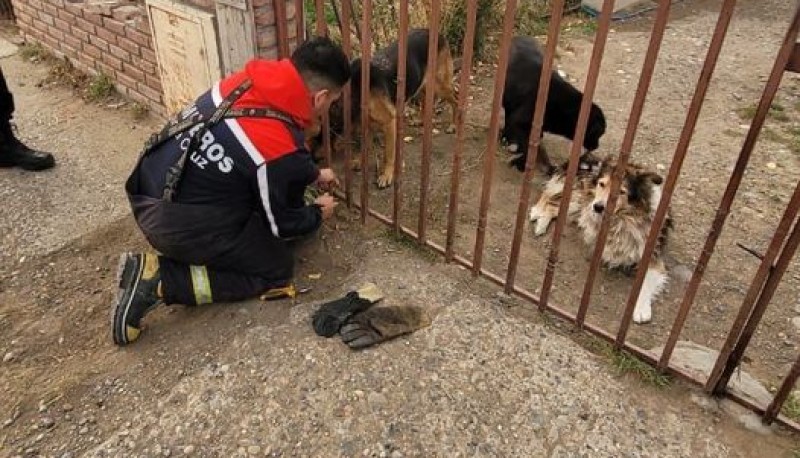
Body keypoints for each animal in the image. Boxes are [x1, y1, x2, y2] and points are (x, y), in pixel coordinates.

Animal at [500, 35, 608, 174]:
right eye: (598, 133)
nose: (596, 146)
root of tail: (520, 36)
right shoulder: (519, 122)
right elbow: (528, 146)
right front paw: (523, 163)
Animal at [528, 156, 672, 324]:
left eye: (621, 192)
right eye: (602, 184)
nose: (598, 207)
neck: (624, 219)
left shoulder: (653, 258)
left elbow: (645, 284)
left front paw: (641, 309)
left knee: (552, 205)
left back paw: (541, 222)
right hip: (580, 200)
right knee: (550, 197)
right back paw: (537, 212)